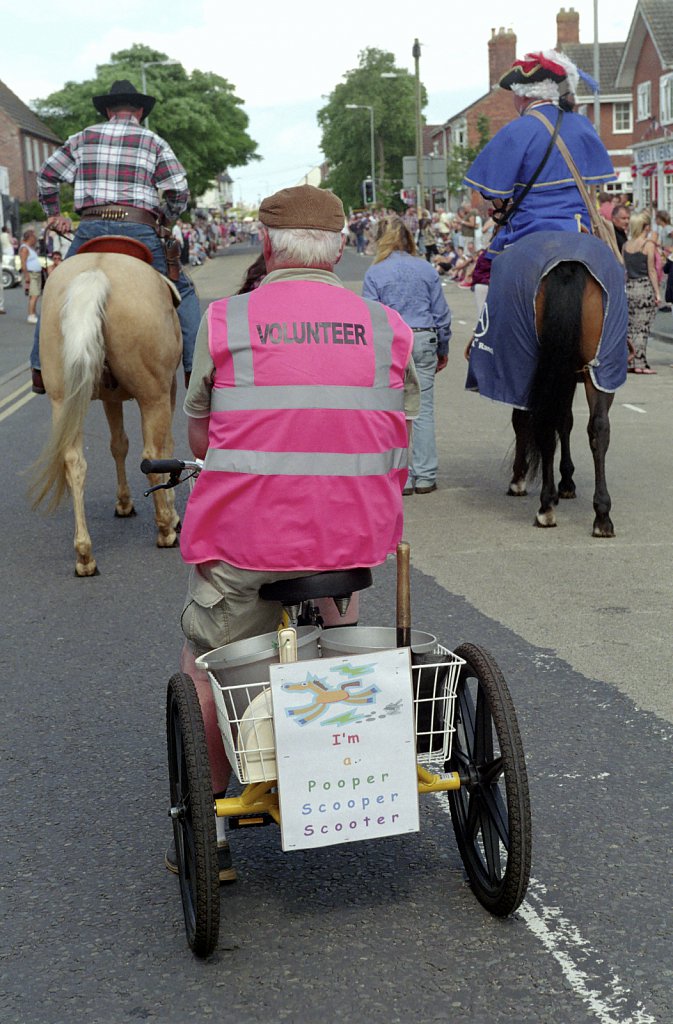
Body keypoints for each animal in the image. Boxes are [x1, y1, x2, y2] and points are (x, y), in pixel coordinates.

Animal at [29, 243, 181, 573]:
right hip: (154, 394)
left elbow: (118, 445)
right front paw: (173, 513)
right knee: (152, 455)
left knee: (74, 462)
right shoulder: (169, 389)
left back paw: (85, 555)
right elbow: (166, 451)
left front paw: (123, 502)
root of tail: (96, 274)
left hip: (62, 399)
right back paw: (165, 529)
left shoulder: (111, 398)